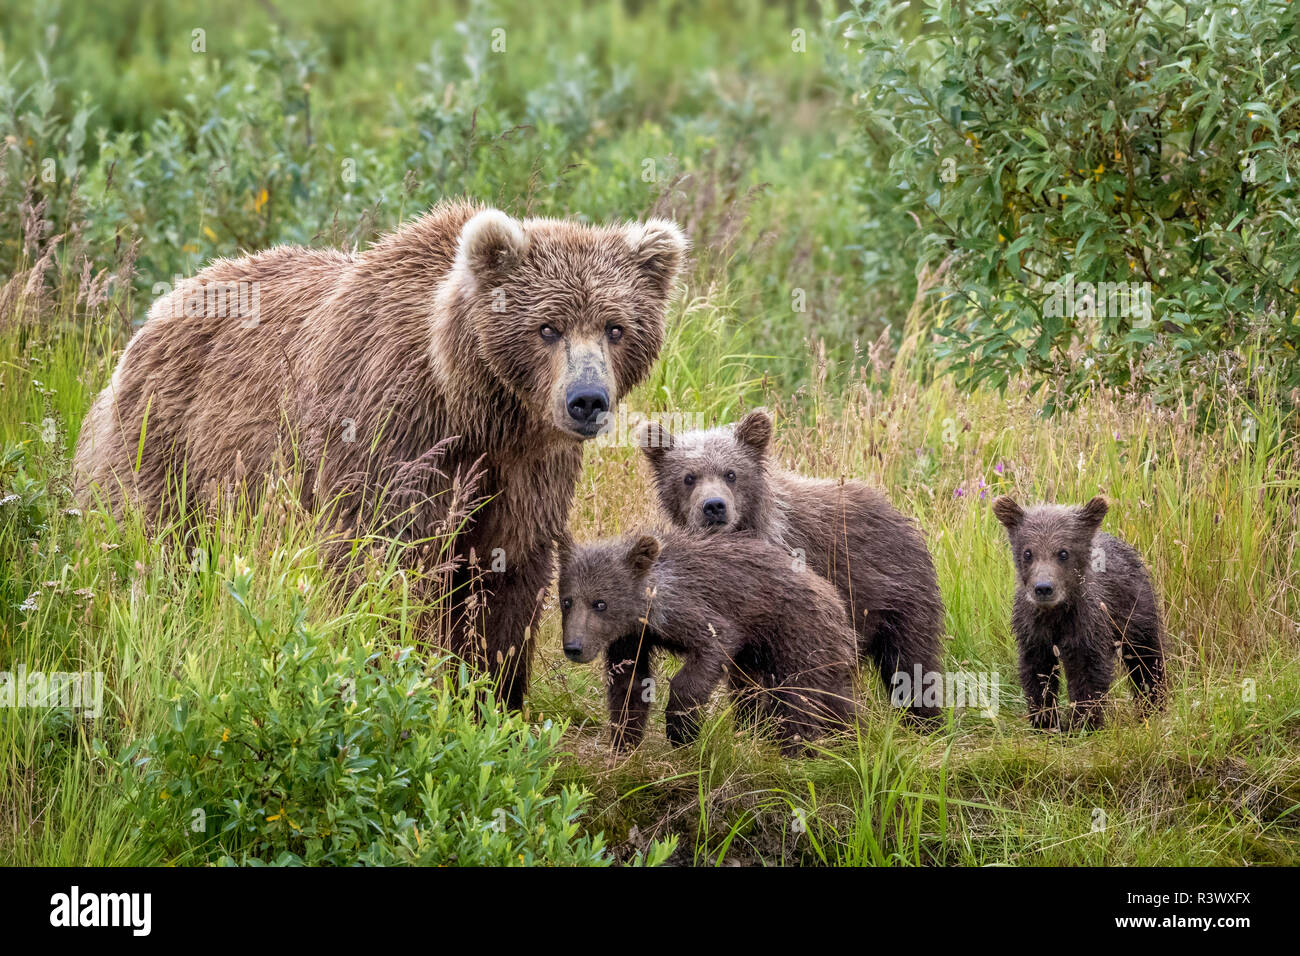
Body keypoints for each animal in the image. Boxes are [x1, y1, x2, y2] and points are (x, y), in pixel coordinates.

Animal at [73, 199, 687, 710]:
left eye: (615, 327)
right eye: (548, 327)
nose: (587, 399)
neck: (473, 406)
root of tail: (165, 304)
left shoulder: (526, 472)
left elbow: (507, 580)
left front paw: (495, 700)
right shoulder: (392, 435)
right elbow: (383, 563)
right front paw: (397, 675)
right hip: (170, 443)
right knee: (156, 545)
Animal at [556, 528, 858, 755]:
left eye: (600, 603)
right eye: (567, 601)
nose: (574, 647)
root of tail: (837, 602)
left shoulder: (687, 609)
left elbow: (713, 645)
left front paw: (682, 729)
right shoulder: (629, 638)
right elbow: (628, 685)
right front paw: (624, 742)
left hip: (796, 635)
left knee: (796, 697)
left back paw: (796, 750)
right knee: (834, 699)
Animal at [638, 409, 946, 719]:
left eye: (731, 473)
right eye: (689, 477)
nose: (714, 506)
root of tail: (897, 511)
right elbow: (742, 674)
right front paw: (748, 718)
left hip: (898, 595)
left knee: (911, 662)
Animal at [991, 495, 1166, 730]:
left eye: (1063, 552)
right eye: (1028, 553)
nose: (1043, 588)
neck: (1056, 614)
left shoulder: (1087, 625)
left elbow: (1087, 673)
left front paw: (1083, 722)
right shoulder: (1033, 631)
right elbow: (1038, 673)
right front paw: (1045, 721)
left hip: (1135, 611)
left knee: (1146, 657)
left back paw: (1153, 704)